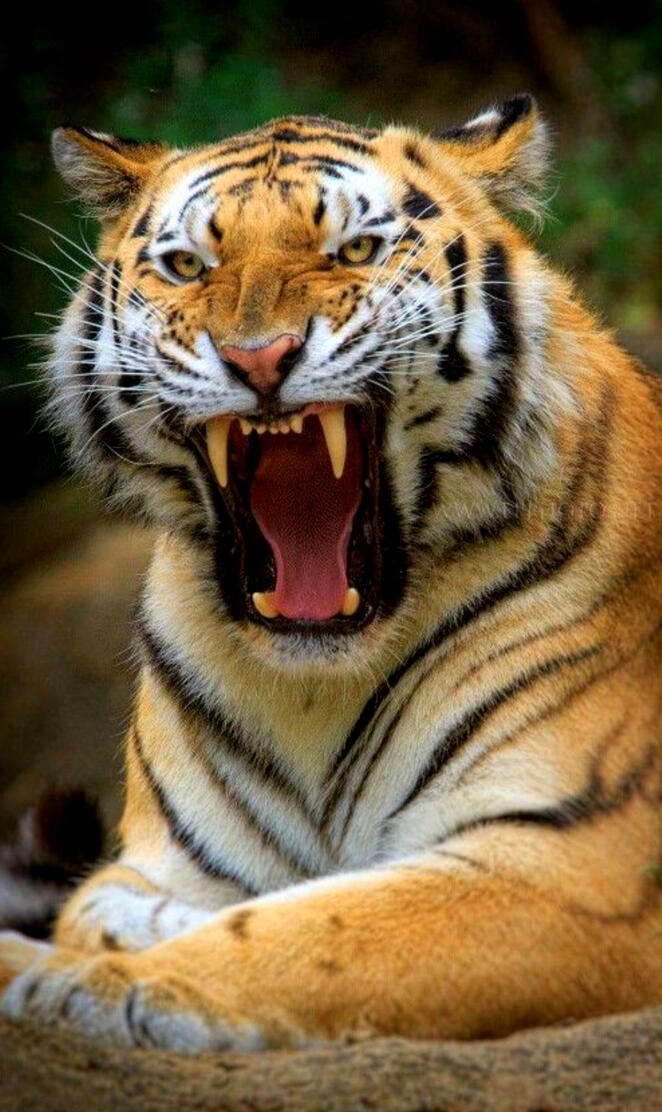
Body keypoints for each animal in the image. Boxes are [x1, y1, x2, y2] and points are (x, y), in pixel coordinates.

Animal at [1, 92, 662, 1053]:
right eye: (188, 266)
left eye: (352, 250)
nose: (259, 358)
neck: (314, 688)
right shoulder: (171, 858)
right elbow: (102, 901)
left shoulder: (571, 864)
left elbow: (323, 929)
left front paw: (100, 986)